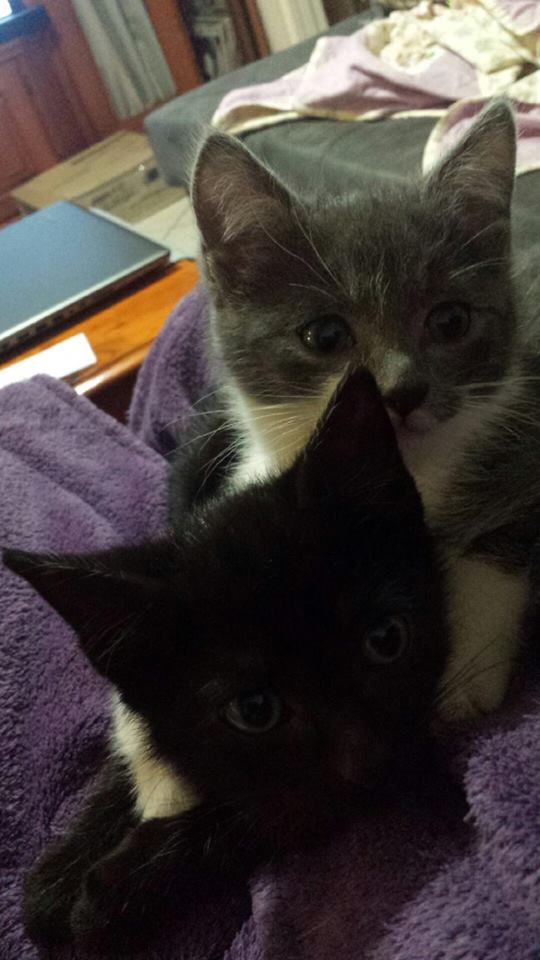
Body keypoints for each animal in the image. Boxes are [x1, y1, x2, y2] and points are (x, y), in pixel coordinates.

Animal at [5, 370, 448, 951]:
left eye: (386, 639)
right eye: (254, 711)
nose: (370, 761)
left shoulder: (315, 797)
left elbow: (266, 810)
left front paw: (117, 888)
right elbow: (136, 737)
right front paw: (62, 871)